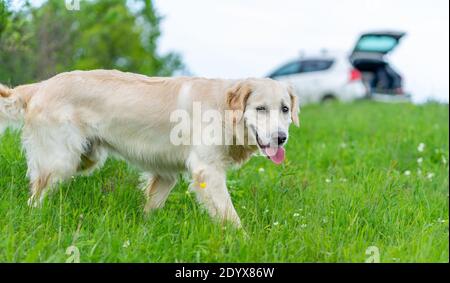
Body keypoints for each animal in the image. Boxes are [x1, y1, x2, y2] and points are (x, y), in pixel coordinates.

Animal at [1, 71, 300, 229]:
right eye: (261, 109)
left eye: (285, 109)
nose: (281, 138)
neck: (224, 110)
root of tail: (40, 85)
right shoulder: (208, 172)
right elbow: (231, 217)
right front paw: (243, 242)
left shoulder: (166, 174)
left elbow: (151, 206)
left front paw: (145, 228)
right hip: (60, 161)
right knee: (35, 198)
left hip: (85, 158)